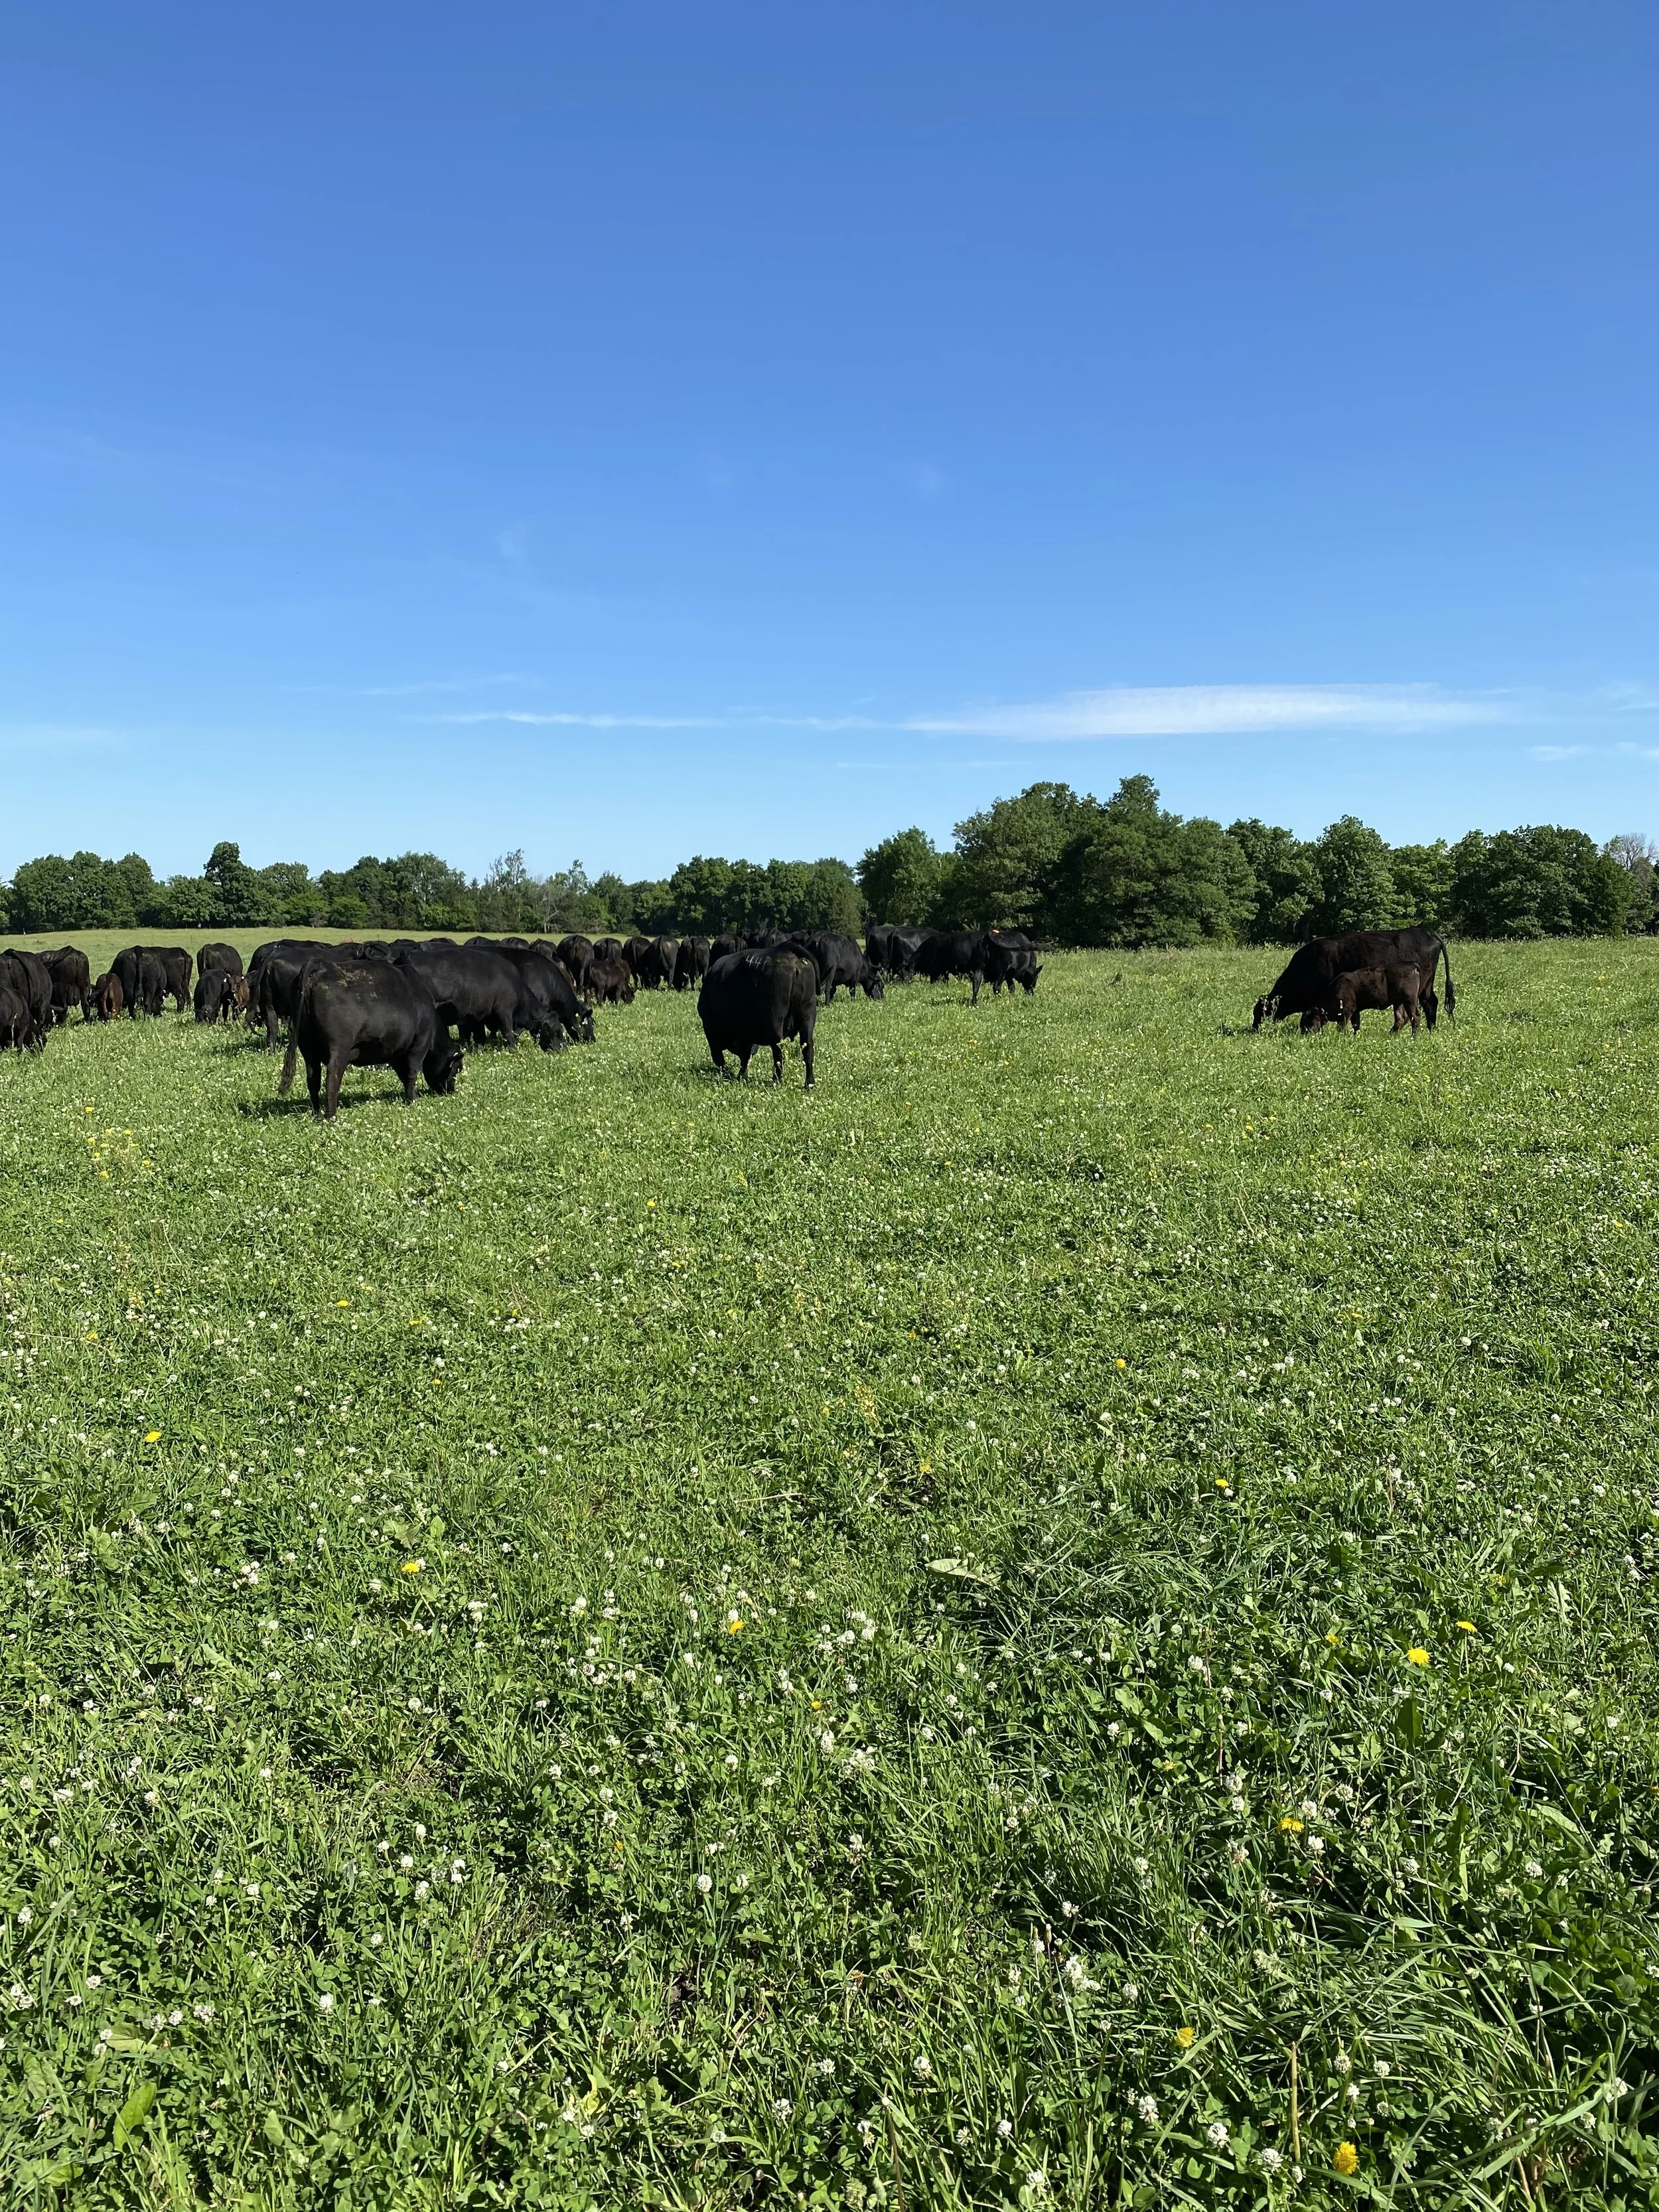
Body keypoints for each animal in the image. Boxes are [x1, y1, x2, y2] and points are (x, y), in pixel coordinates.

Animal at [279, 958, 462, 1120]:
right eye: (457, 1069)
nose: (450, 1091)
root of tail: (322, 965)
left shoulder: (396, 1051)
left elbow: (404, 1075)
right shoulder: (419, 1045)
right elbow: (412, 1073)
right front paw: (412, 1100)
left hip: (307, 1046)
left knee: (313, 1079)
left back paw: (317, 1113)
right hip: (339, 1046)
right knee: (332, 1077)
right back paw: (331, 1116)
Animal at [699, 949, 817, 1088]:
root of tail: (792, 958)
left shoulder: (713, 1030)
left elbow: (722, 1057)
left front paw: (735, 1074)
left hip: (775, 1021)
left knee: (779, 1051)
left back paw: (777, 1079)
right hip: (807, 1016)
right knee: (807, 1049)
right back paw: (809, 1083)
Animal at [1253, 929, 1454, 1032]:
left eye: (1260, 1013)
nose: (1255, 1029)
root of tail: (1427, 931)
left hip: (1417, 990)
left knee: (1424, 1006)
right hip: (1425, 986)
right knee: (1430, 1003)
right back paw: (1430, 1029)